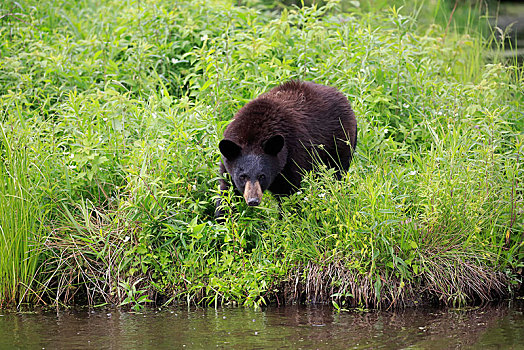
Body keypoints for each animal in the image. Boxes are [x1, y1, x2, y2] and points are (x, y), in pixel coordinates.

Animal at [216, 81, 356, 219]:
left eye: (262, 176)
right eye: (242, 176)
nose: (253, 200)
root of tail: (341, 94)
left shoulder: (294, 157)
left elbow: (290, 195)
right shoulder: (228, 165)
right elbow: (226, 192)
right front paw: (222, 219)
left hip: (340, 143)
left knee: (337, 172)